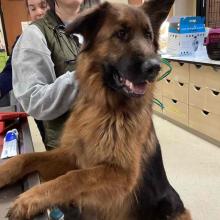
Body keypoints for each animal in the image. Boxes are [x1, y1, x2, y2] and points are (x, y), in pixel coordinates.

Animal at [0, 0, 191, 219]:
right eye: (121, 33)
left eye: (148, 36)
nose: (155, 67)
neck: (105, 108)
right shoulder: (72, 155)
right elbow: (26, 158)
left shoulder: (121, 174)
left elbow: (74, 177)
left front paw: (30, 198)